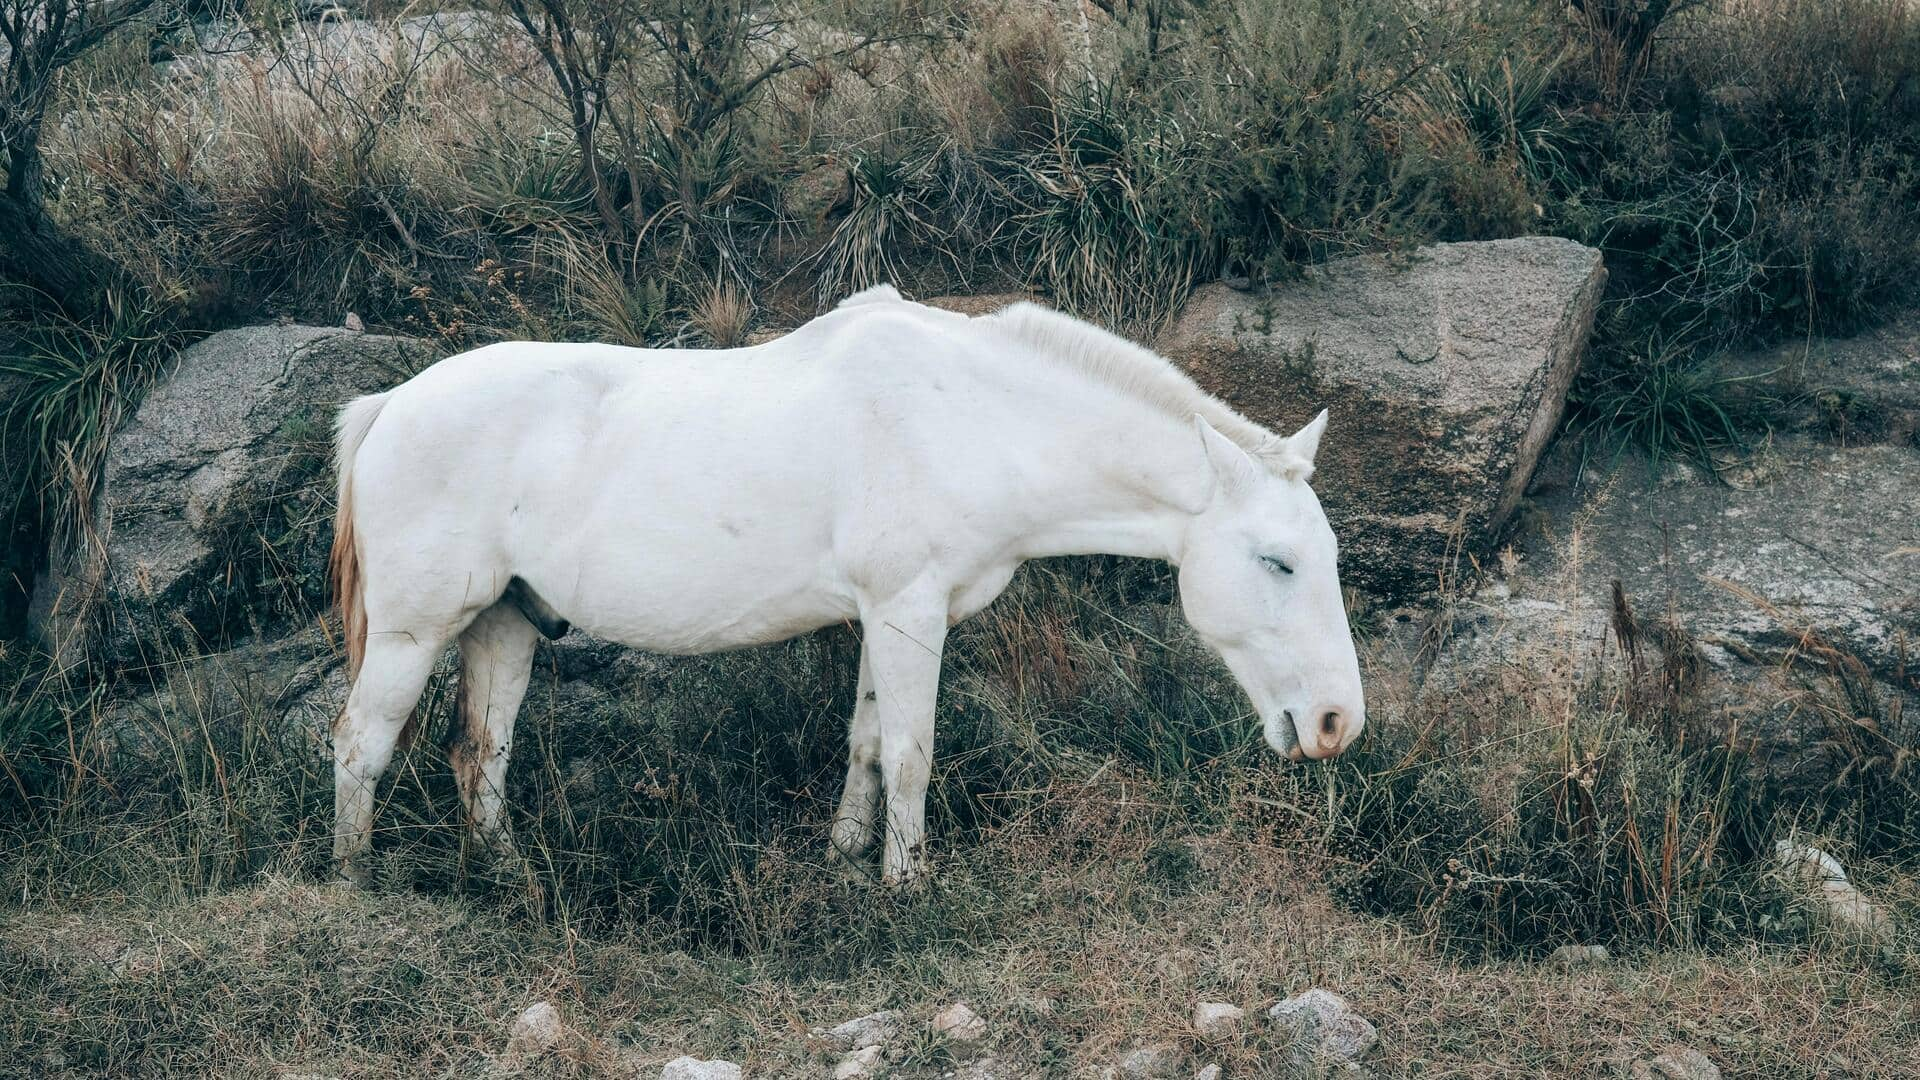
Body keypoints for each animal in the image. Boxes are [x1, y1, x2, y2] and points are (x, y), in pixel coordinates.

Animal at [337, 282, 1374, 880]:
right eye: (1277, 562)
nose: (1337, 724)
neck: (974, 419)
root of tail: (391, 405)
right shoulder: (910, 611)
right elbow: (913, 752)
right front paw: (906, 886)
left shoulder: (890, 615)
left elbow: (869, 742)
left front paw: (845, 859)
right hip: (413, 631)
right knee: (359, 745)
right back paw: (352, 880)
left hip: (505, 622)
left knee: (482, 750)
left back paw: (505, 874)